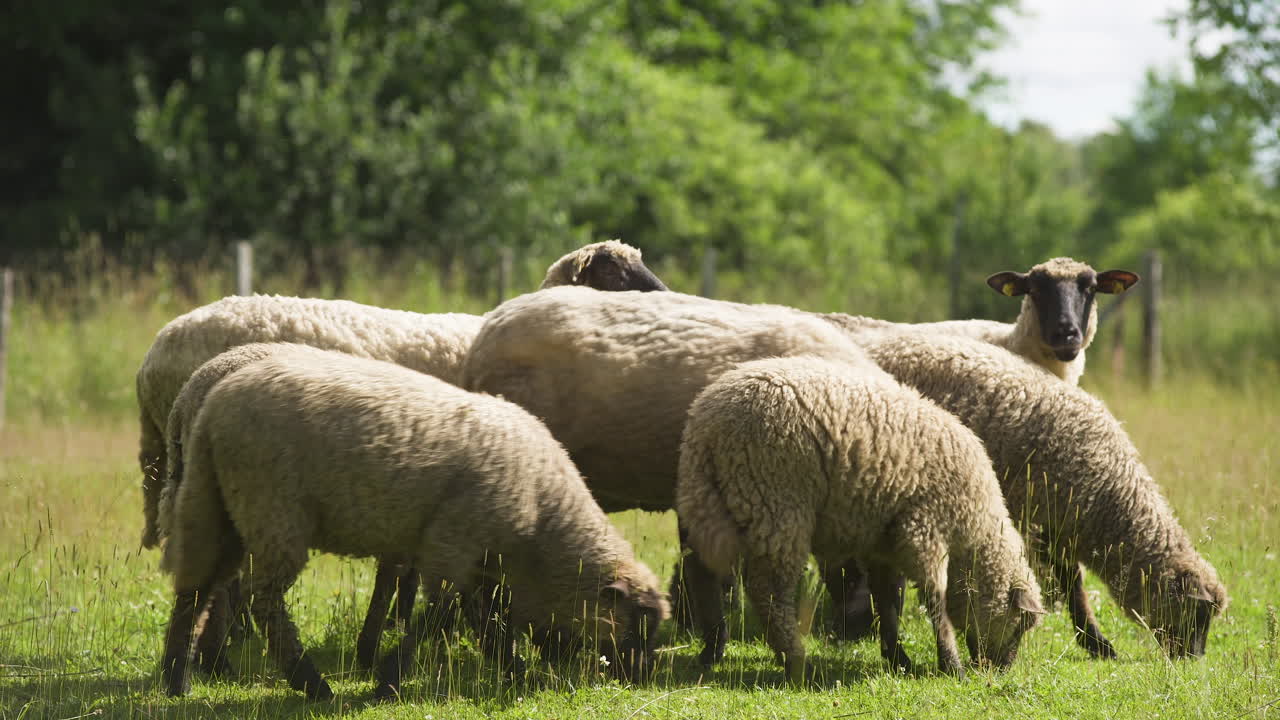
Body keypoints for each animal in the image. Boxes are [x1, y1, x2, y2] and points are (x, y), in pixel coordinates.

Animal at [159, 344, 669, 700]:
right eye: (639, 623)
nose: (641, 678)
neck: (544, 518)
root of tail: (209, 409)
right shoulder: (454, 540)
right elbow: (439, 617)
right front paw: (388, 682)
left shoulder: (476, 554)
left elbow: (482, 620)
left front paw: (514, 671)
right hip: (273, 508)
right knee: (262, 600)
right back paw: (311, 684)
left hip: (215, 503)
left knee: (196, 589)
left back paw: (176, 679)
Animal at [675, 356, 1044, 682]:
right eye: (1019, 625)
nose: (1000, 669)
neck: (973, 528)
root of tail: (708, 425)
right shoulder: (924, 529)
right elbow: (934, 600)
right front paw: (951, 664)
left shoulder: (884, 540)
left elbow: (887, 602)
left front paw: (898, 659)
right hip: (775, 502)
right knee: (768, 591)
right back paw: (795, 661)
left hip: (703, 497)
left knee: (699, 569)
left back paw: (712, 649)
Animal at [855, 331, 1227, 659]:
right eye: (1198, 614)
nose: (1194, 657)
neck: (1108, 494)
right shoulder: (1036, 517)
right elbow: (1071, 583)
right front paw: (1096, 642)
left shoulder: (1058, 524)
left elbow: (1071, 582)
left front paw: (1092, 639)